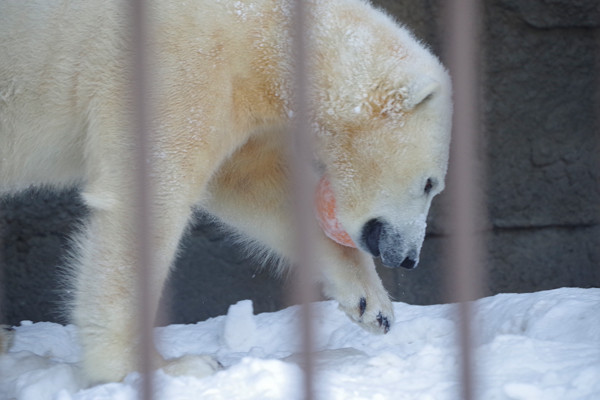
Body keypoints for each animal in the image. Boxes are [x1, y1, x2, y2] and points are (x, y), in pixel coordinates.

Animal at [0, 0, 450, 384]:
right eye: (431, 183)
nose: (408, 258)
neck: (264, 29)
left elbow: (256, 186)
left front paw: (372, 305)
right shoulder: (179, 61)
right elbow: (149, 196)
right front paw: (161, 367)